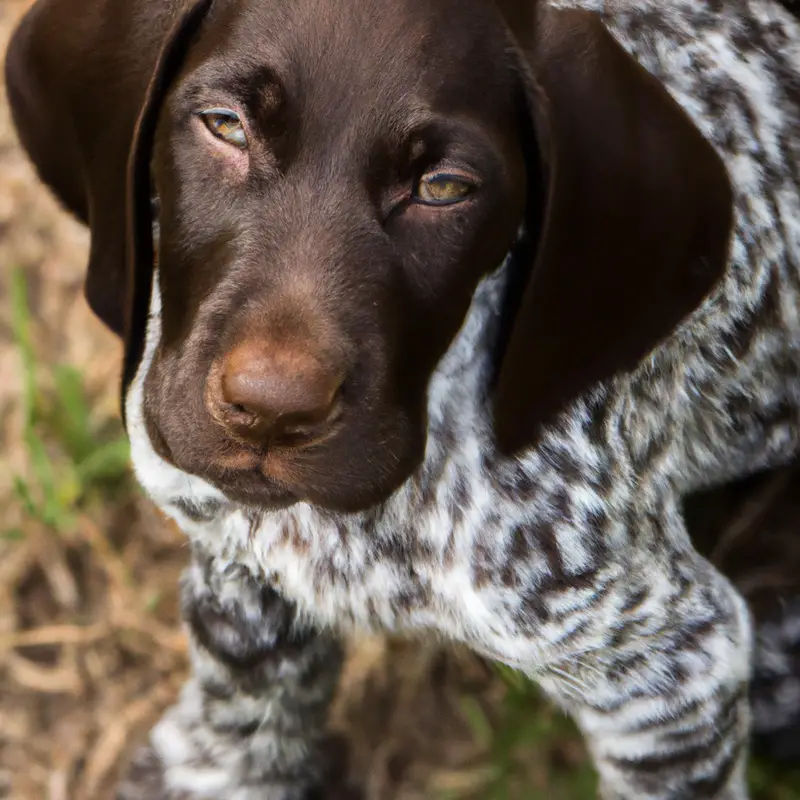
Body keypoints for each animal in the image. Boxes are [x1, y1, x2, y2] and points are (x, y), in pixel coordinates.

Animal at [6, 0, 800, 792]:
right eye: (225, 125)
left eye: (444, 188)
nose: (273, 412)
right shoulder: (231, 551)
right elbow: (245, 680)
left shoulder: (672, 668)